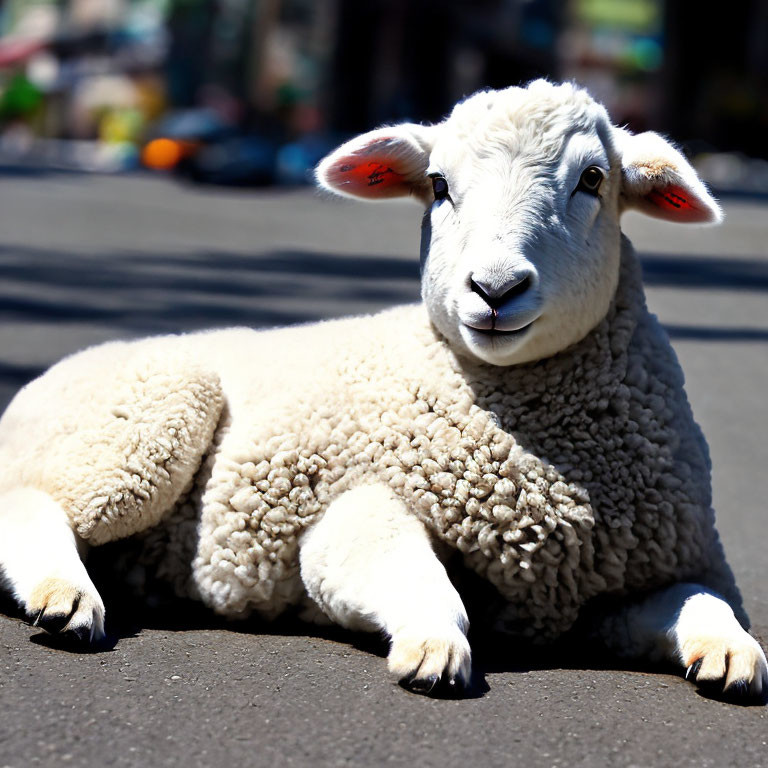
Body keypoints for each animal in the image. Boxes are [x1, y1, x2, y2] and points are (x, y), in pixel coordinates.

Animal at [0, 79, 764, 704]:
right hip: (140, 420)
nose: (494, 289)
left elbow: (705, 604)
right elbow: (419, 580)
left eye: (593, 179)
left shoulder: (637, 578)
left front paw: (731, 654)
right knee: (30, 503)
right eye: (439, 185)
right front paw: (433, 645)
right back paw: (64, 597)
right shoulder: (356, 509)